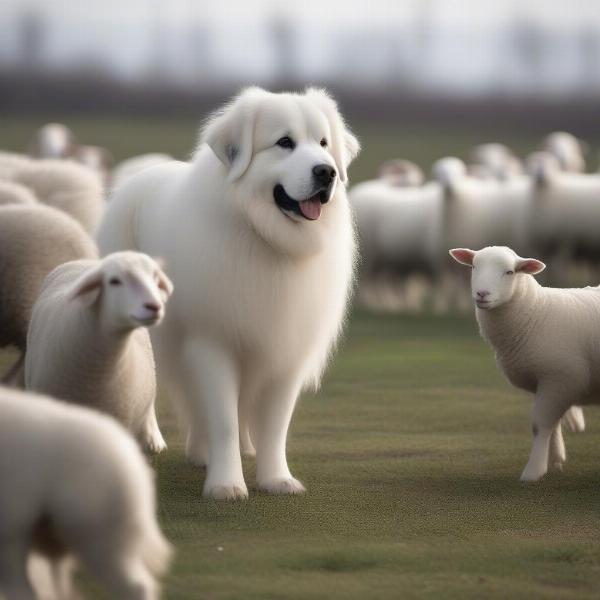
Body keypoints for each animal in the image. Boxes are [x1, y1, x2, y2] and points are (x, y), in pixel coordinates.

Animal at [99, 88, 358, 502]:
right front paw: (226, 484)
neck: (265, 236)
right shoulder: (213, 343)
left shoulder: (285, 350)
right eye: (284, 143)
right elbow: (222, 420)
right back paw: (163, 442)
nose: (327, 172)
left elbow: (275, 426)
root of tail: (139, 178)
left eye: (323, 144)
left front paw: (276, 478)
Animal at [450, 246, 596, 480]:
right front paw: (556, 460)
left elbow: (540, 425)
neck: (537, 312)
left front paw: (533, 471)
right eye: (473, 266)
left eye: (510, 272)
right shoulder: (546, 384)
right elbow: (553, 424)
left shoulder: (560, 379)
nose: (482, 293)